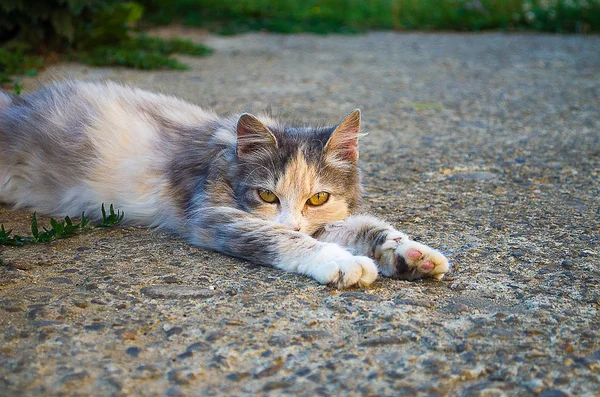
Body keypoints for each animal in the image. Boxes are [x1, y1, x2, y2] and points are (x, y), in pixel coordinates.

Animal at [0, 80, 448, 286]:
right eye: (266, 195)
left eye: (318, 198)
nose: (290, 219)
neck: (227, 157)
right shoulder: (212, 215)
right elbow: (285, 239)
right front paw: (342, 261)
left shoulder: (324, 221)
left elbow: (369, 228)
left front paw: (411, 254)